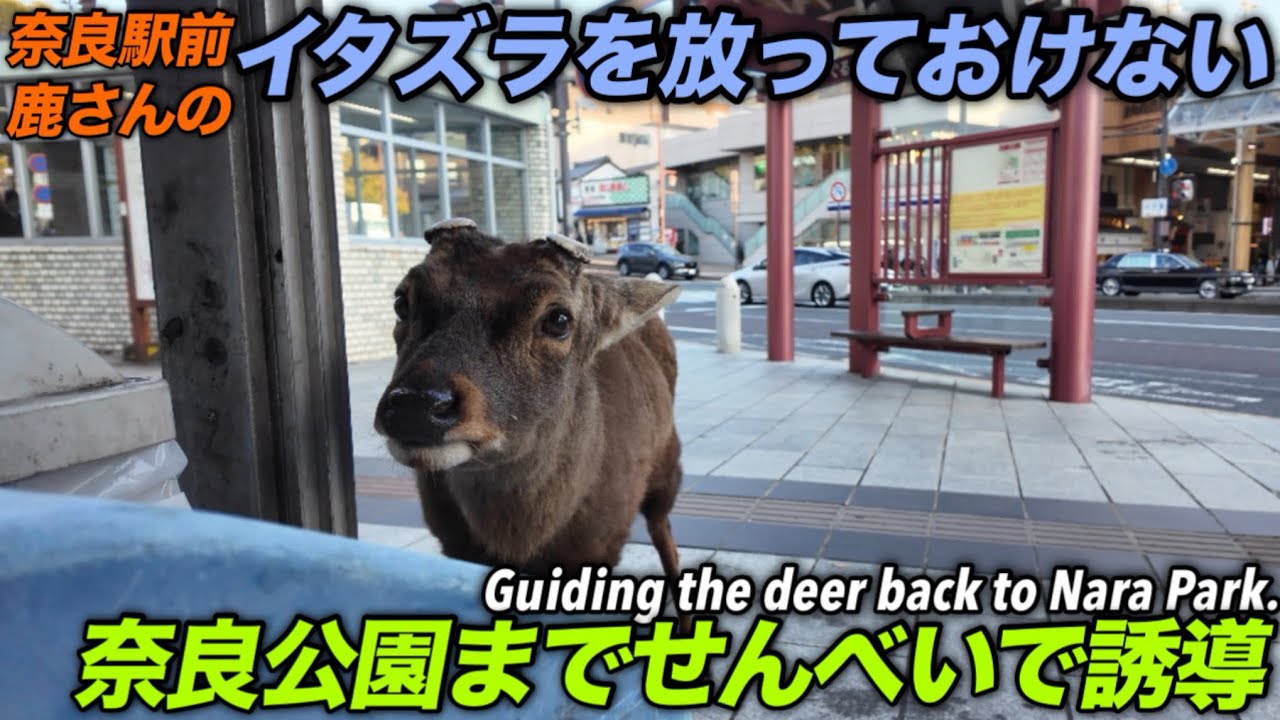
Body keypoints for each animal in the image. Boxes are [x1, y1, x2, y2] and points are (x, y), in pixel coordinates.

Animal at [374, 218, 690, 630]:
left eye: (558, 318)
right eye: (401, 300)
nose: (418, 403)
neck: (521, 539)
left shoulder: (599, 547)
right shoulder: (455, 544)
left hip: (669, 464)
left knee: (663, 530)